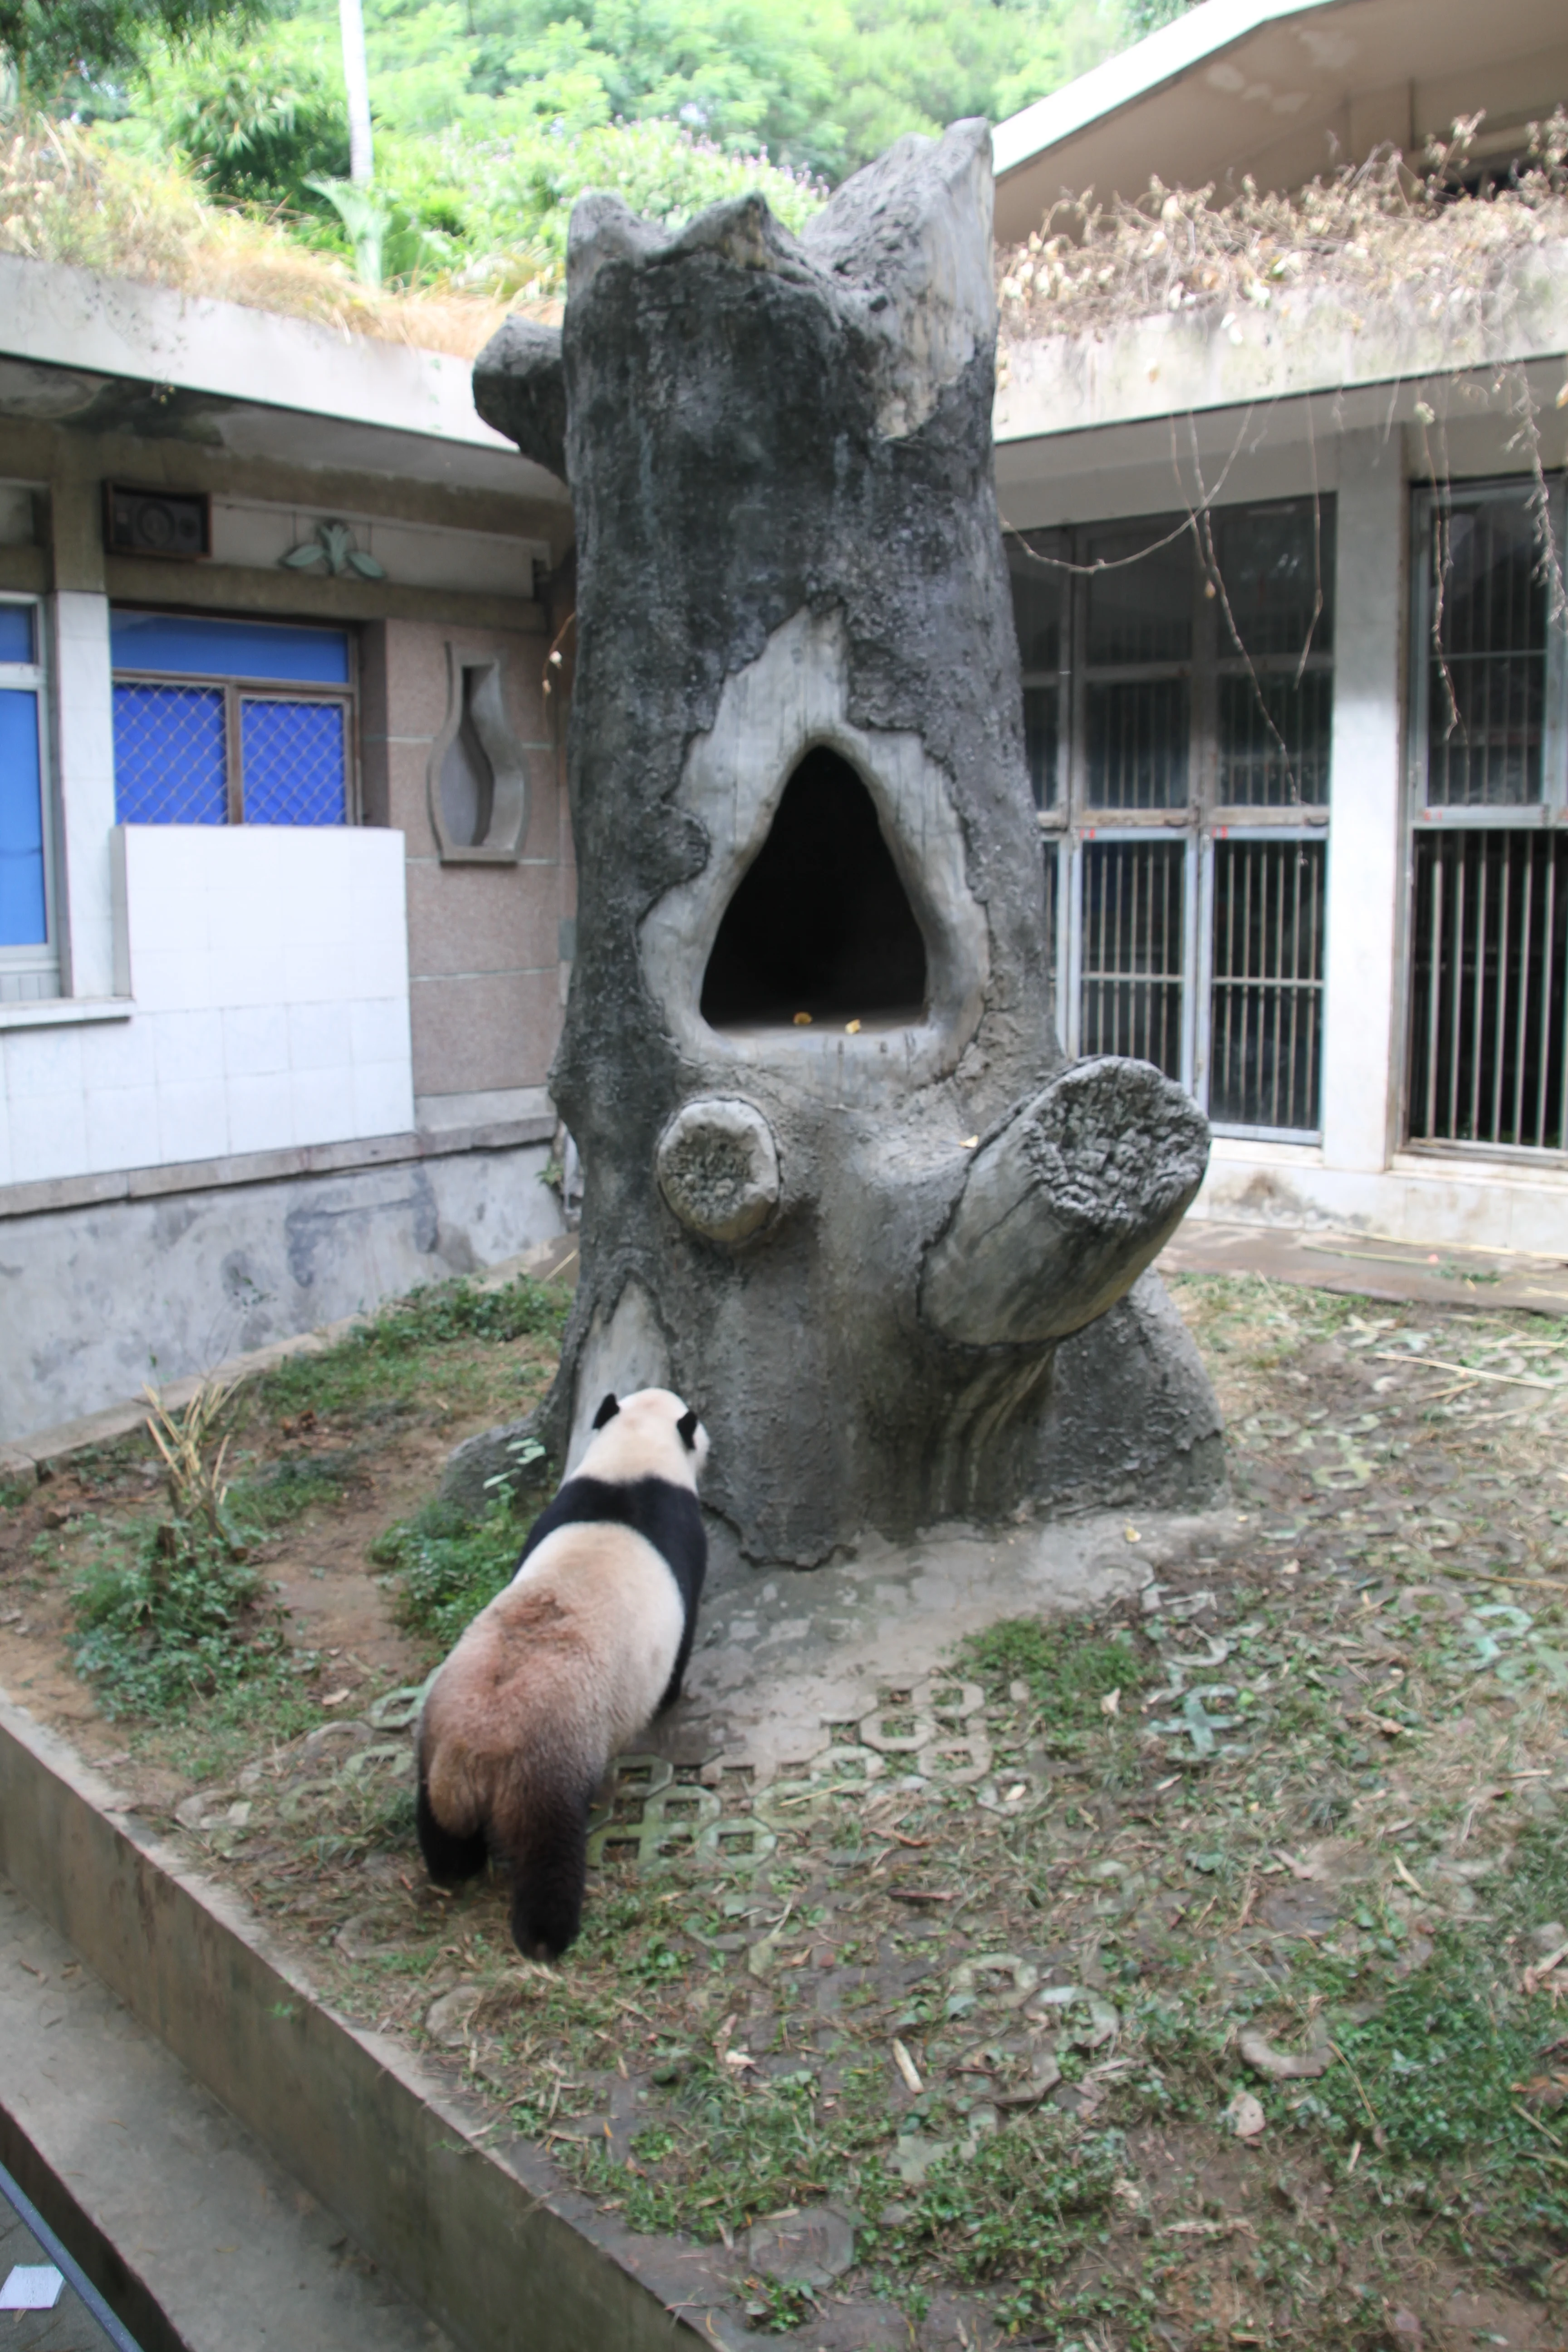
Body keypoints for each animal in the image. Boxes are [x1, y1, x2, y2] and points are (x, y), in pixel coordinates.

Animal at [415, 1386, 709, 1961]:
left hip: (433, 1735)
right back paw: (547, 1934)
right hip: (547, 1763)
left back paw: (453, 1868)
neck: (633, 1461)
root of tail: (472, 1753)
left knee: (436, 1823)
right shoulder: (685, 1538)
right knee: (548, 1851)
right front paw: (670, 1697)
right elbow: (682, 1641)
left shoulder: (559, 1507)